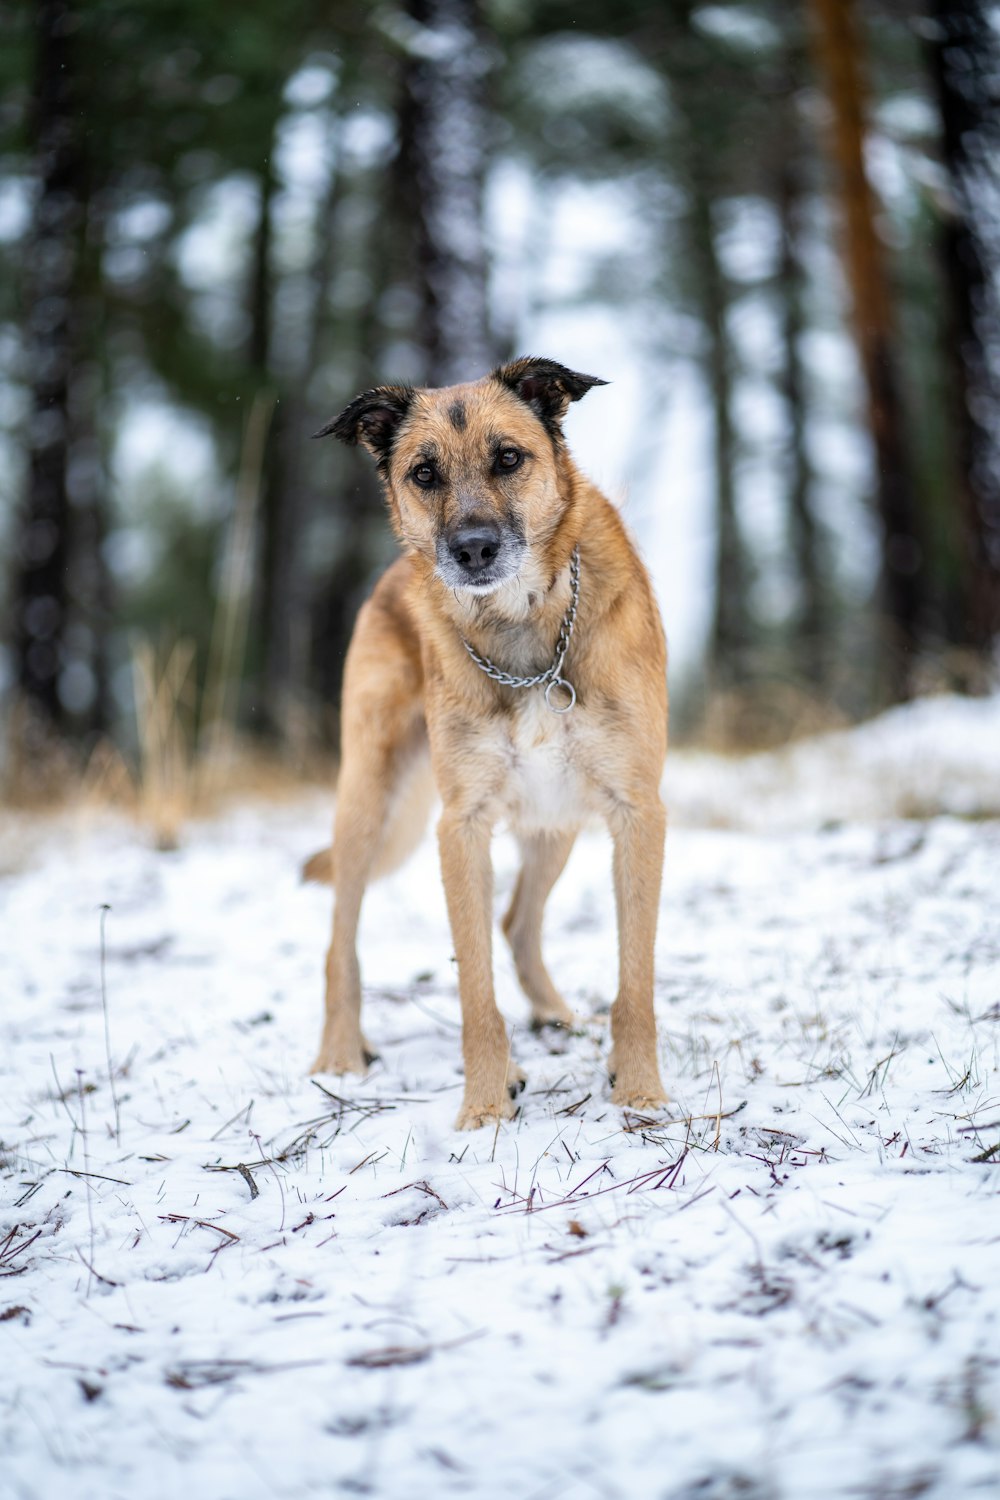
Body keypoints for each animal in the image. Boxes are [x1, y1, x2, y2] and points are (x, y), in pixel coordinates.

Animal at [308, 357, 668, 1128]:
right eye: (423, 473)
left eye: (508, 458)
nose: (473, 549)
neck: (523, 633)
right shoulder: (462, 827)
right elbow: (475, 989)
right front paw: (483, 1108)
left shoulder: (636, 812)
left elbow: (636, 979)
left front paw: (641, 1091)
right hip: (366, 800)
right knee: (340, 941)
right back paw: (342, 1053)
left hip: (555, 821)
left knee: (517, 921)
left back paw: (554, 1015)